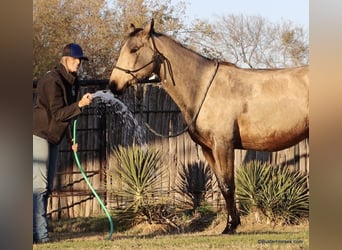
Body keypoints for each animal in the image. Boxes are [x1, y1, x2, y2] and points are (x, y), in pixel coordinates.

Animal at [109, 19, 310, 234]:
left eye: (134, 49)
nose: (113, 85)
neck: (203, 88)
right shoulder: (208, 148)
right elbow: (222, 185)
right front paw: (232, 223)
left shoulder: (224, 145)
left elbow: (229, 185)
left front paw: (230, 226)